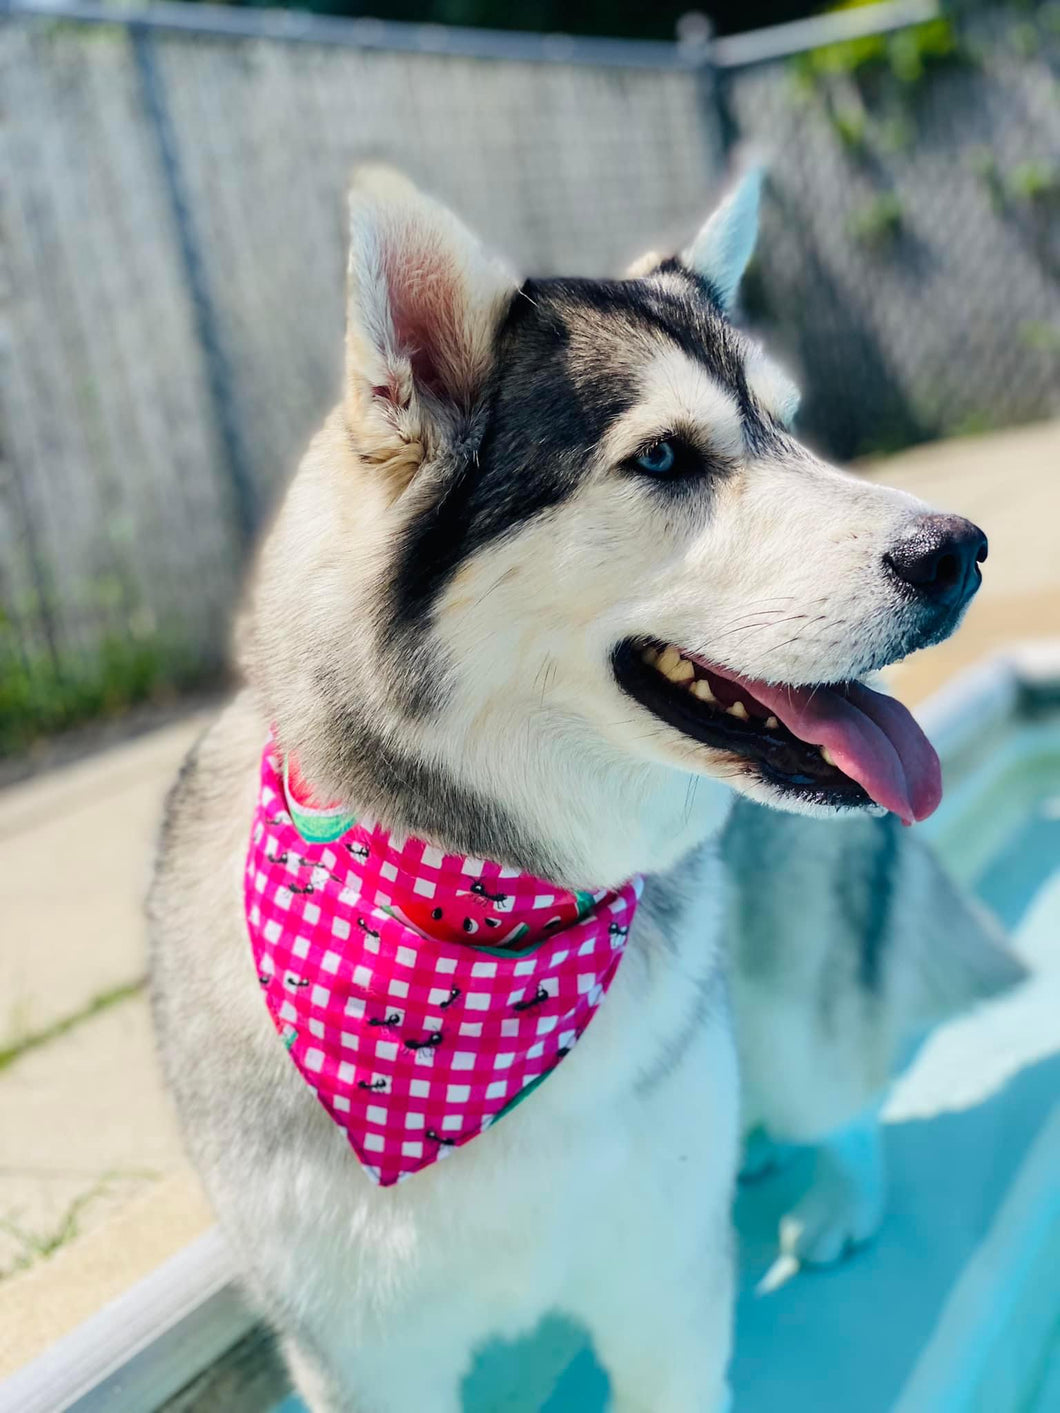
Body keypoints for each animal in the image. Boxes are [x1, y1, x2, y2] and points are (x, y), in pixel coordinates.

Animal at [153, 168, 994, 1413]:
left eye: (788, 426)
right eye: (663, 460)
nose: (962, 550)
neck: (475, 908)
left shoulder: (664, 1296)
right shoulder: (367, 1356)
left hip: (794, 1011)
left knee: (839, 1092)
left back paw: (839, 1195)